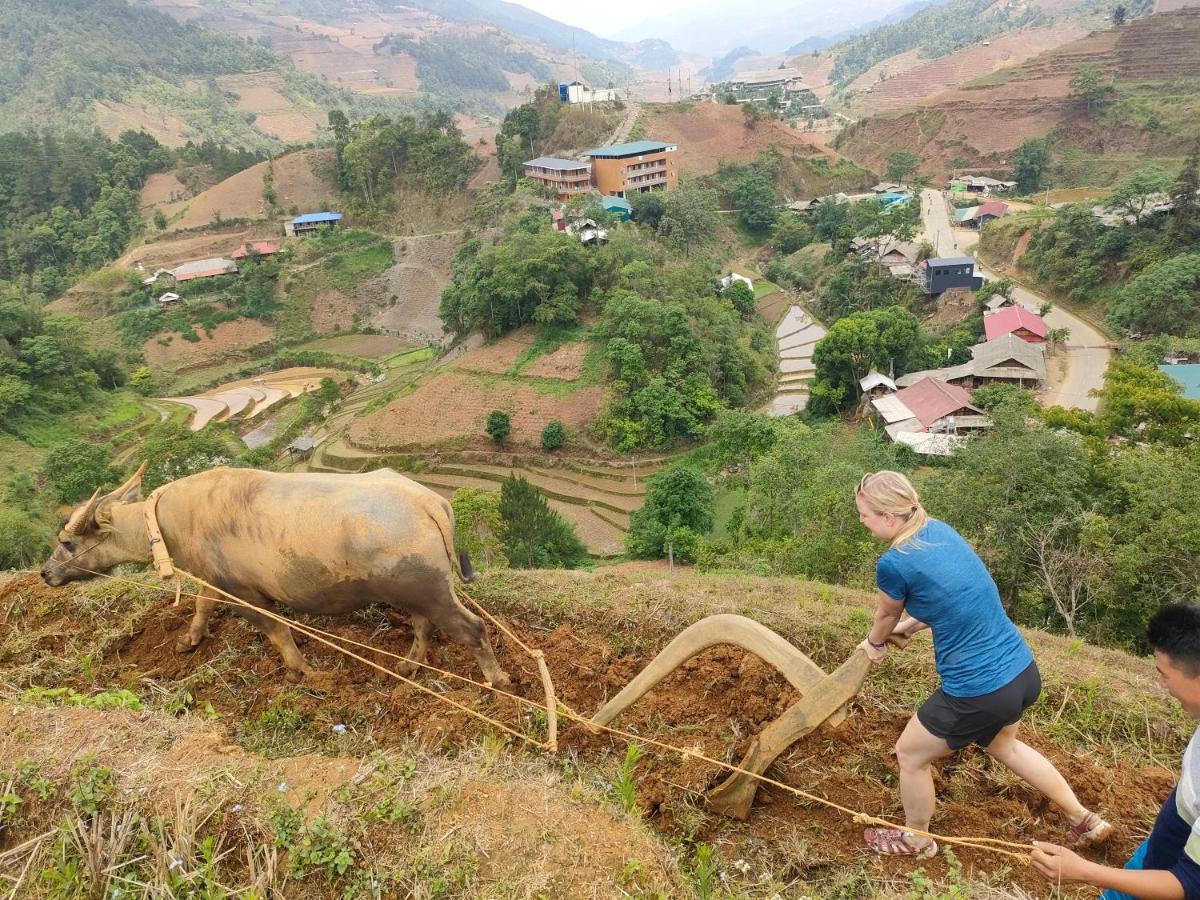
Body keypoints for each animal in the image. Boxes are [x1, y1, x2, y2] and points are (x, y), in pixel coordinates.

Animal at [41, 468, 511, 686]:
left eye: (67, 542)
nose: (46, 573)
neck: (170, 524)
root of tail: (427, 501)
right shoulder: (213, 582)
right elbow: (201, 605)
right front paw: (188, 641)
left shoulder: (246, 596)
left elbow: (277, 632)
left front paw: (303, 671)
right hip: (415, 592)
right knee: (424, 626)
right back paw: (409, 666)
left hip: (428, 591)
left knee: (473, 629)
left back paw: (498, 680)